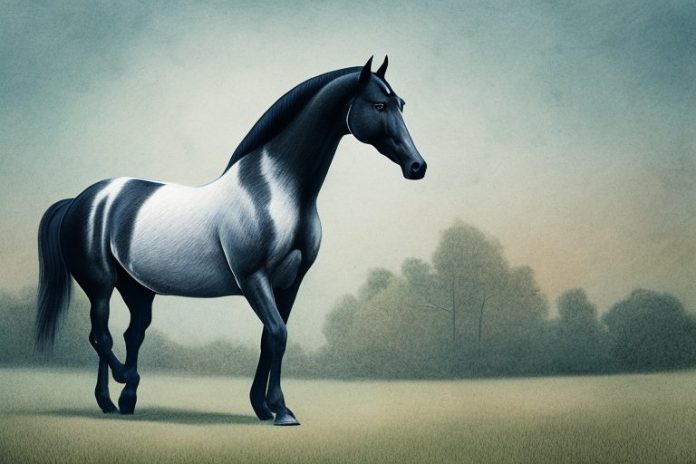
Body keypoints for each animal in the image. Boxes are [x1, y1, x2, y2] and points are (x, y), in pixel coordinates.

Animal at [36, 56, 426, 426]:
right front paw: (281, 410)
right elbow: (278, 334)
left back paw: (121, 402)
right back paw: (122, 383)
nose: (417, 167)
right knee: (100, 335)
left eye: (402, 104)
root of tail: (82, 199)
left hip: (137, 289)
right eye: (379, 105)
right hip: (100, 285)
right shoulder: (253, 277)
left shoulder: (289, 283)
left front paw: (264, 407)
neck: (273, 191)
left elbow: (271, 338)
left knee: (131, 334)